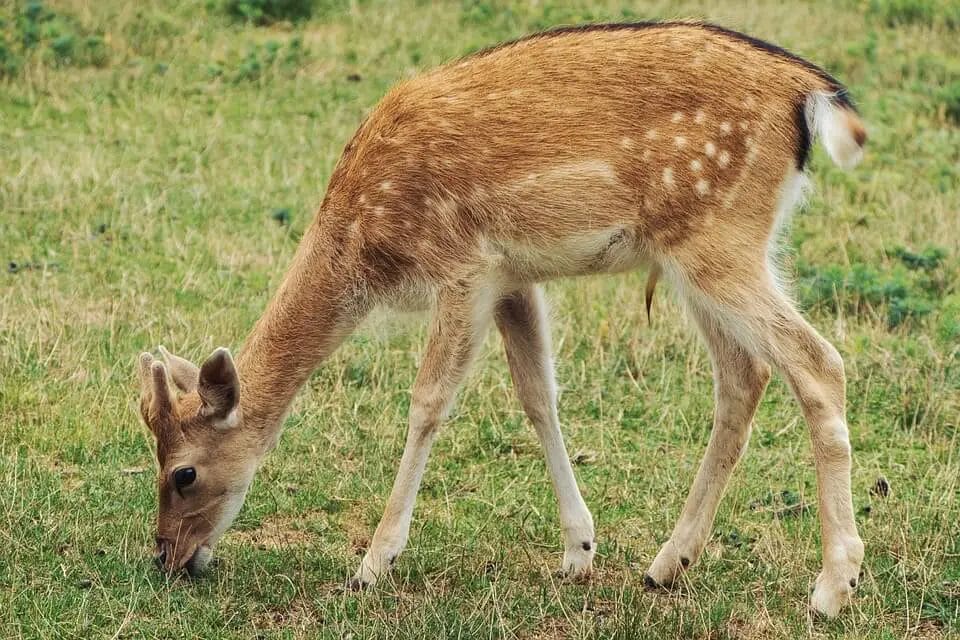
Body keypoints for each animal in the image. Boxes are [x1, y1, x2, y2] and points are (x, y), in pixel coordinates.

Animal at [136, 21, 868, 617]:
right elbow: (538, 394)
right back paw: (666, 564)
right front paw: (578, 550)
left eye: (183, 473)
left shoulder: (463, 267)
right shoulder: (514, 278)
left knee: (818, 362)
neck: (364, 245)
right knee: (745, 377)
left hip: (719, 240)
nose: (166, 557)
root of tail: (809, 92)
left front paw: (374, 561)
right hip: (707, 252)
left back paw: (833, 587)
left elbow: (429, 400)